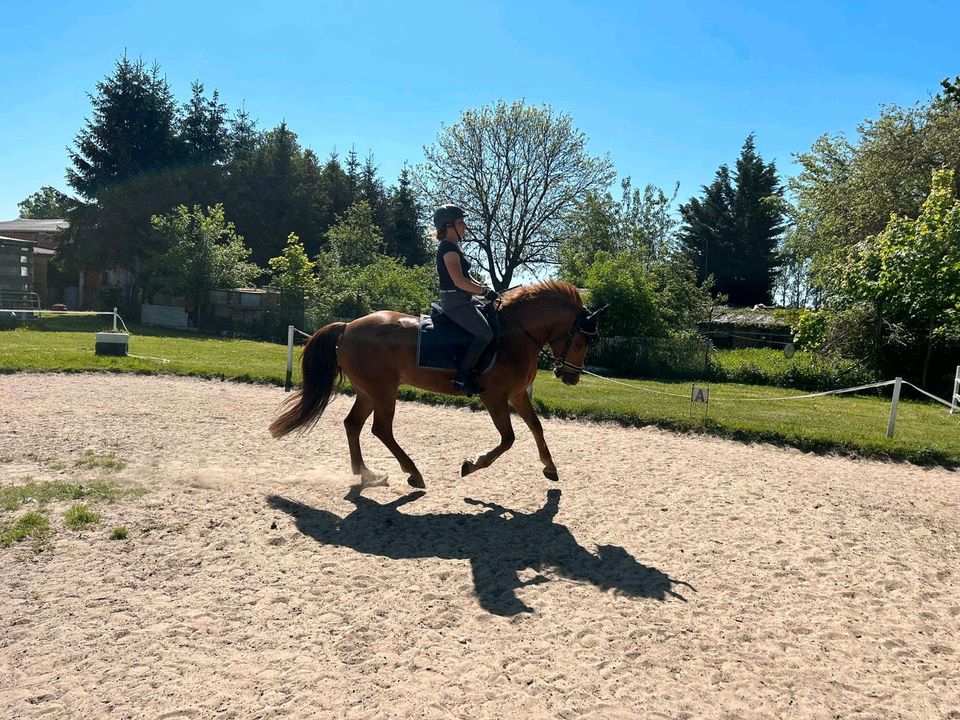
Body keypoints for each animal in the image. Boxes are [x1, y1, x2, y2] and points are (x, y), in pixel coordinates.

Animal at [268, 282, 600, 490]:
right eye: (580, 341)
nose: (572, 377)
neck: (513, 335)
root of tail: (348, 326)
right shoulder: (495, 397)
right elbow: (508, 439)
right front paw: (473, 464)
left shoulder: (517, 395)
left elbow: (536, 427)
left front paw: (550, 466)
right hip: (383, 392)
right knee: (381, 429)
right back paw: (412, 473)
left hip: (368, 391)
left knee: (353, 424)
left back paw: (367, 474)